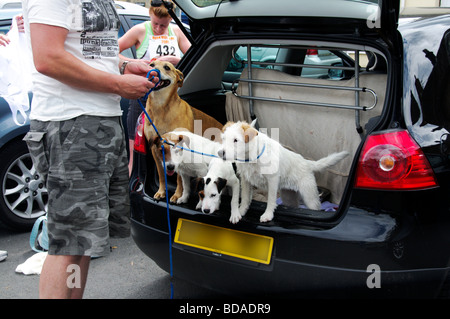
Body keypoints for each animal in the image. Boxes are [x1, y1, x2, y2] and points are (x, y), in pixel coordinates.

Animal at [143, 60, 222, 202]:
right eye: (151, 64)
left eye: (167, 67)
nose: (152, 70)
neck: (160, 108)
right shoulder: (155, 150)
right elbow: (161, 174)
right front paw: (162, 191)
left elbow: (180, 178)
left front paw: (178, 194)